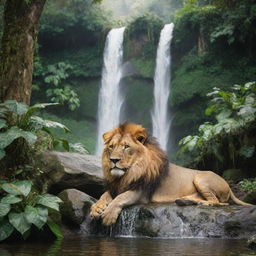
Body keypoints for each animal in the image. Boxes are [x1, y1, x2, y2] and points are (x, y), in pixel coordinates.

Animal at [90, 123, 252, 225]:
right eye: (111, 147)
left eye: (126, 147)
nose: (113, 160)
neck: (128, 173)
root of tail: (228, 186)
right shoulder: (115, 187)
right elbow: (104, 195)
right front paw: (97, 208)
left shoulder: (142, 192)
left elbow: (120, 198)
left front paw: (108, 215)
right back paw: (184, 201)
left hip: (200, 178)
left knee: (220, 201)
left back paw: (204, 203)